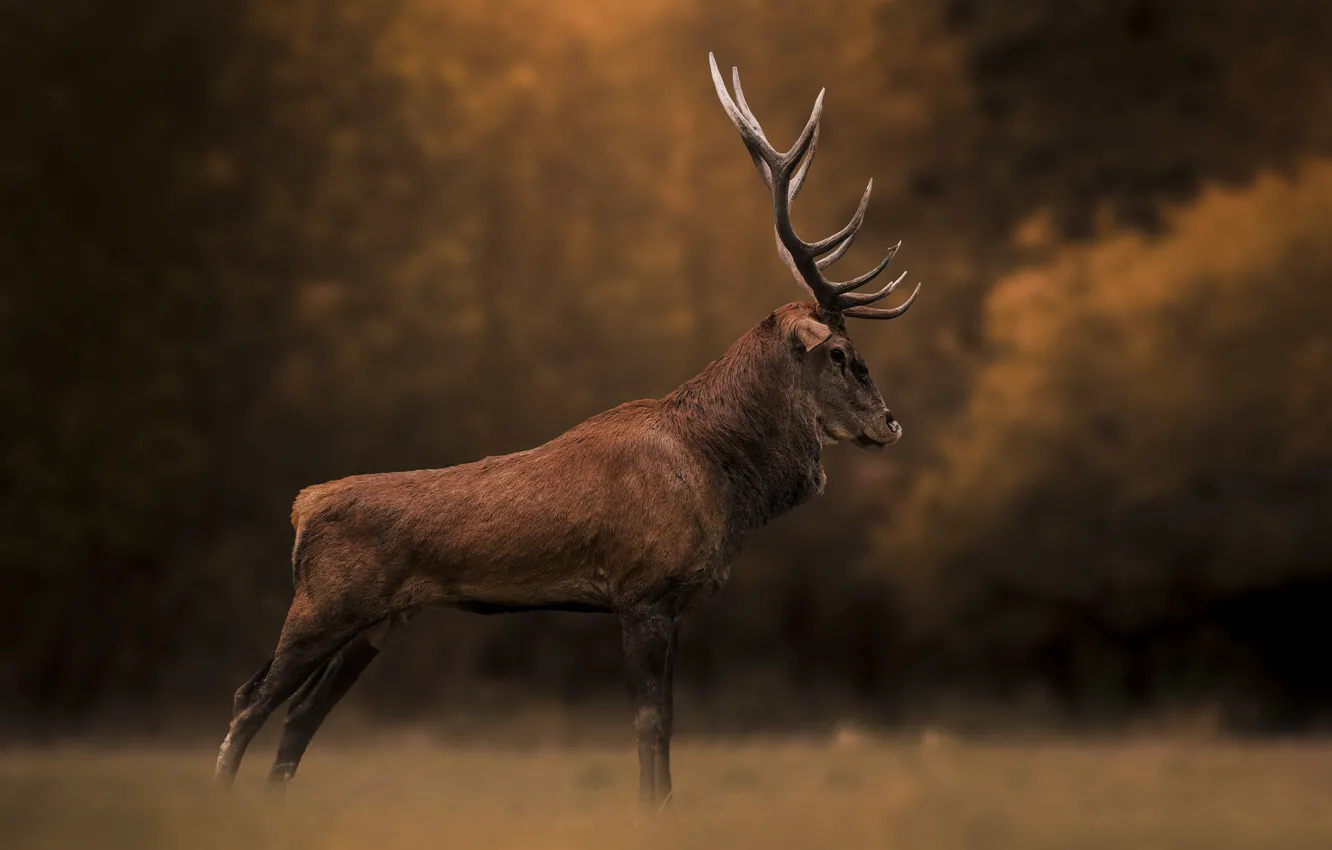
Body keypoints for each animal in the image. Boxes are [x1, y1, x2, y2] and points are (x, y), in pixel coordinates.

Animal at [213, 53, 923, 811]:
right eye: (840, 354)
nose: (890, 423)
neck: (723, 484)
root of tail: (302, 508)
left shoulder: (670, 601)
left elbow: (667, 726)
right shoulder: (643, 589)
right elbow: (651, 724)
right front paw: (651, 814)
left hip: (375, 623)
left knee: (298, 715)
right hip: (324, 603)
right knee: (249, 698)